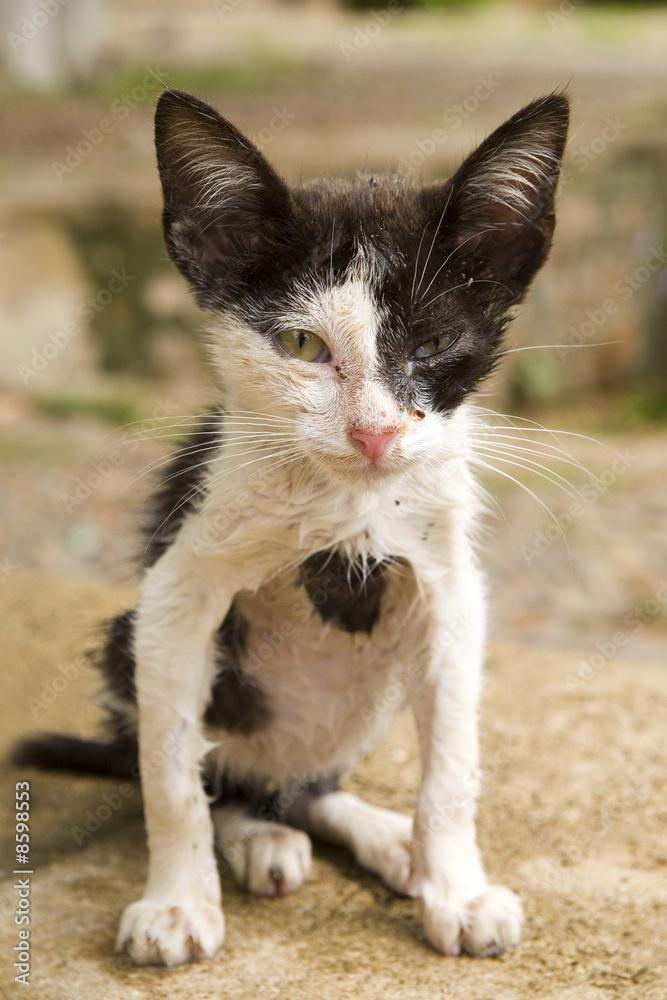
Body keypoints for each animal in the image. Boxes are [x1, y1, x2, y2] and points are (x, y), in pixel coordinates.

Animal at [17, 90, 568, 964]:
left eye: (435, 342)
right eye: (300, 344)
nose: (375, 432)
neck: (344, 510)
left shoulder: (449, 586)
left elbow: (451, 767)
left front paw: (458, 891)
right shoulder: (175, 591)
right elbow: (170, 777)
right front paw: (176, 905)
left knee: (303, 784)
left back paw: (385, 841)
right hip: (124, 644)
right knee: (224, 778)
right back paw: (257, 839)